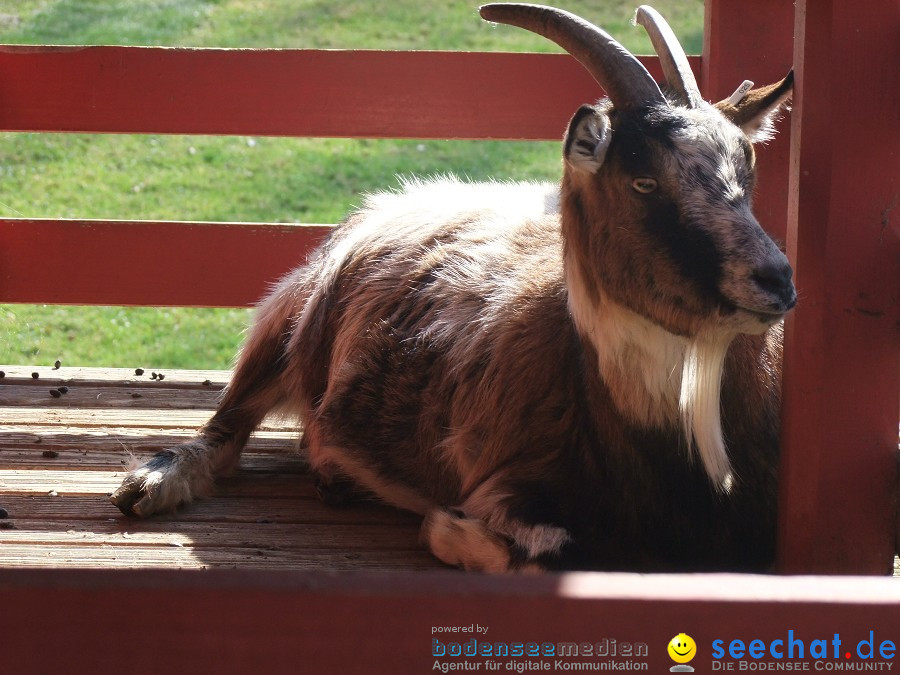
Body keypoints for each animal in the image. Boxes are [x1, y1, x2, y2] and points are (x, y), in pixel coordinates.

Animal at [110, 3, 796, 576]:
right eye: (644, 182)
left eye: (746, 171)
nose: (777, 279)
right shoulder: (505, 478)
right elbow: (541, 549)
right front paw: (447, 526)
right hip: (289, 320)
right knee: (225, 430)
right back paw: (154, 484)